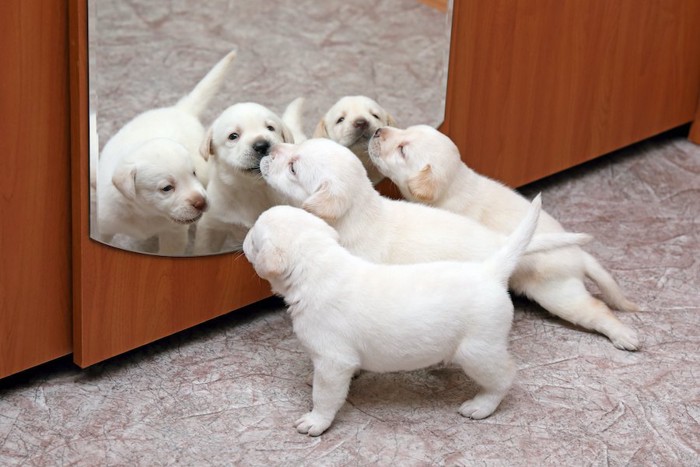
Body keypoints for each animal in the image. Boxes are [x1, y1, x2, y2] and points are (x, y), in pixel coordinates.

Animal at [95, 50, 235, 256]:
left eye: (192, 174)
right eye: (166, 188)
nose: (201, 202)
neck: (146, 213)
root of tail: (179, 110)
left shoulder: (174, 233)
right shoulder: (104, 225)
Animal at [194, 100, 298, 254]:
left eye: (270, 128)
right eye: (233, 136)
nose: (262, 145)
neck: (252, 190)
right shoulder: (212, 224)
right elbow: (204, 248)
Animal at [246, 196, 548, 436]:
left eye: (253, 237)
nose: (244, 238)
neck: (317, 268)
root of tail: (489, 271)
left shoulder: (333, 361)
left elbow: (324, 395)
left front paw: (316, 421)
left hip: (479, 351)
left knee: (504, 377)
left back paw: (481, 405)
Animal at [370, 125, 644, 352]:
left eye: (402, 150)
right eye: (405, 129)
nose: (377, 131)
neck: (455, 186)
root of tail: (579, 256)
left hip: (559, 294)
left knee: (596, 309)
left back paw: (624, 336)